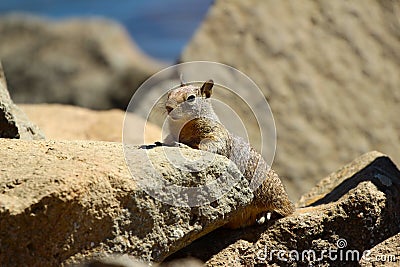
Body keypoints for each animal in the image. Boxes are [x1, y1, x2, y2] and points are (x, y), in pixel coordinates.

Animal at [162, 79, 294, 228]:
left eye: (191, 98)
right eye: (169, 93)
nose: (168, 106)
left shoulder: (216, 134)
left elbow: (209, 146)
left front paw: (184, 146)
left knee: (284, 209)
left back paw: (266, 214)